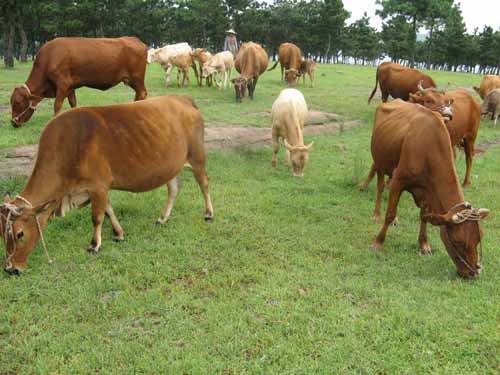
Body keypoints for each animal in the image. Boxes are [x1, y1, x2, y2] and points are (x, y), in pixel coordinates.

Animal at [0, 95, 213, 274]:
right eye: (2, 233)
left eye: (20, 234)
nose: (11, 269)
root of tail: (182, 99)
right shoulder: (98, 189)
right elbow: (109, 211)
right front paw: (119, 234)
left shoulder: (98, 187)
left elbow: (97, 217)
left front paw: (94, 245)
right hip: (171, 166)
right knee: (174, 189)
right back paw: (163, 218)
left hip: (197, 157)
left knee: (204, 184)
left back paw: (209, 214)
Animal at [9, 37, 147, 128]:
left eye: (18, 102)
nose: (13, 122)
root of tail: (135, 39)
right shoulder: (70, 87)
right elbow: (73, 102)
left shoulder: (63, 84)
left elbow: (57, 105)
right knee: (139, 95)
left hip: (137, 78)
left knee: (142, 93)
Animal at [370, 100, 490, 280]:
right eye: (458, 242)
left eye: (479, 237)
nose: (472, 273)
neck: (428, 149)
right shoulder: (399, 179)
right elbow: (390, 212)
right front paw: (378, 242)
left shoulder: (427, 189)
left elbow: (424, 216)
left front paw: (424, 244)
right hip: (380, 162)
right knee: (380, 188)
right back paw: (376, 214)